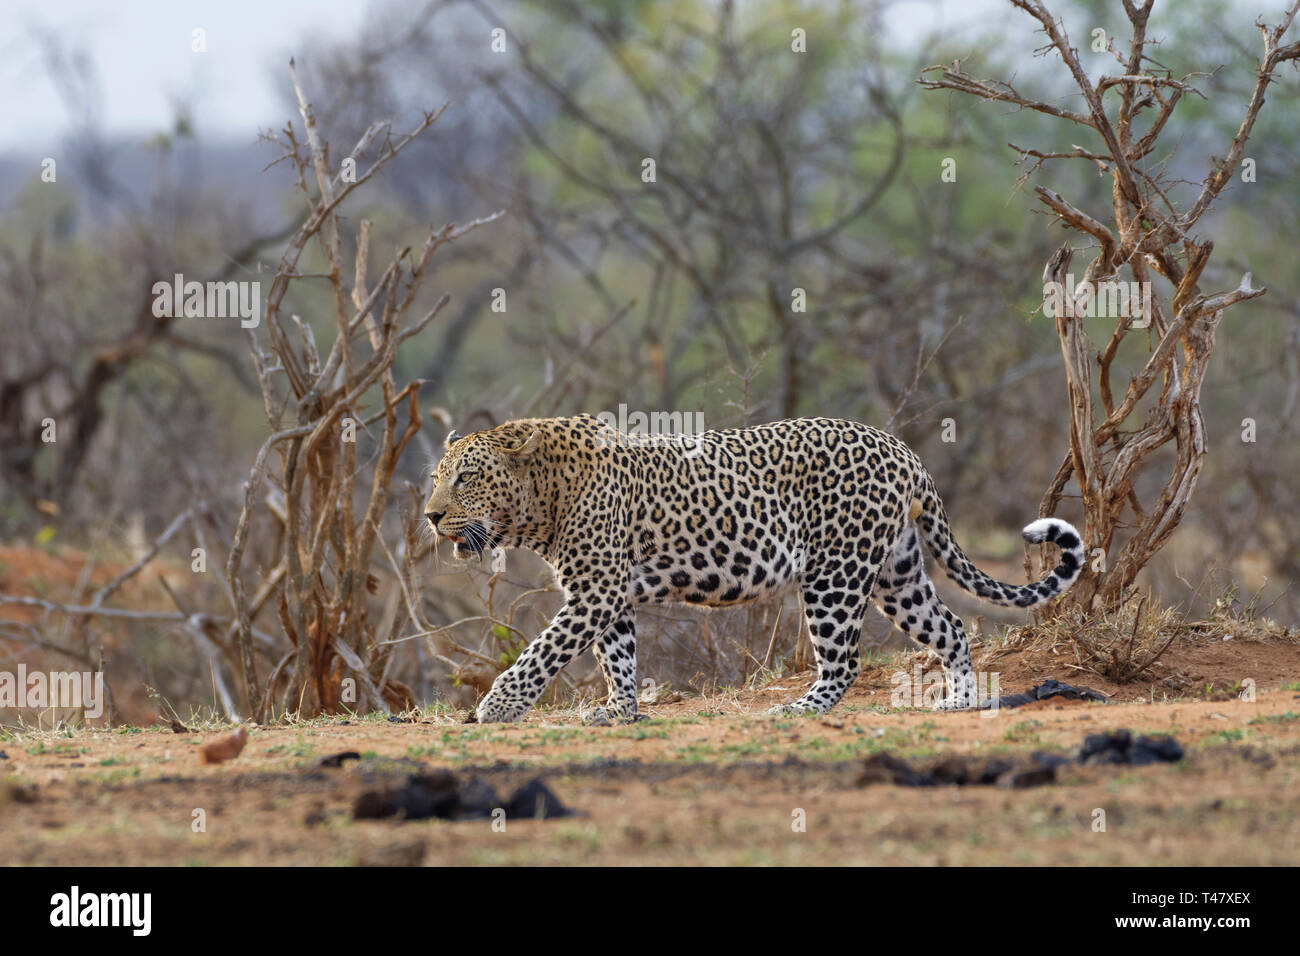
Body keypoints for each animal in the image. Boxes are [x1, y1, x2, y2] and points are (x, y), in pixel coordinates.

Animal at [421, 416, 1081, 723]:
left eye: (467, 477)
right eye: (436, 478)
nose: (430, 515)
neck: (541, 502)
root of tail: (903, 449)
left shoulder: (596, 592)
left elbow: (542, 650)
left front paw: (498, 707)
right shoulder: (607, 594)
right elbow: (618, 657)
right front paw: (619, 710)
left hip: (835, 575)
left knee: (844, 661)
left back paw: (799, 708)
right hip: (897, 574)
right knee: (950, 626)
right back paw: (959, 701)